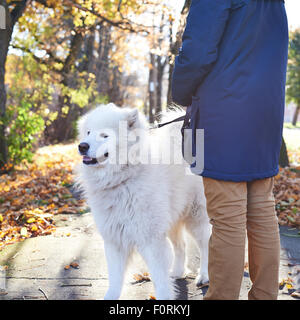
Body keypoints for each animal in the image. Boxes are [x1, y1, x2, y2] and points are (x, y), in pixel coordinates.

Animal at [75, 103, 211, 300]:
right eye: (88, 132)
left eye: (105, 135)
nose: (82, 146)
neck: (124, 178)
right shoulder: (114, 239)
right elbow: (115, 278)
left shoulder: (151, 239)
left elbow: (159, 279)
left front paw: (164, 298)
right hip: (172, 220)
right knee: (181, 246)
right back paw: (177, 272)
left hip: (196, 217)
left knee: (205, 246)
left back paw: (204, 276)